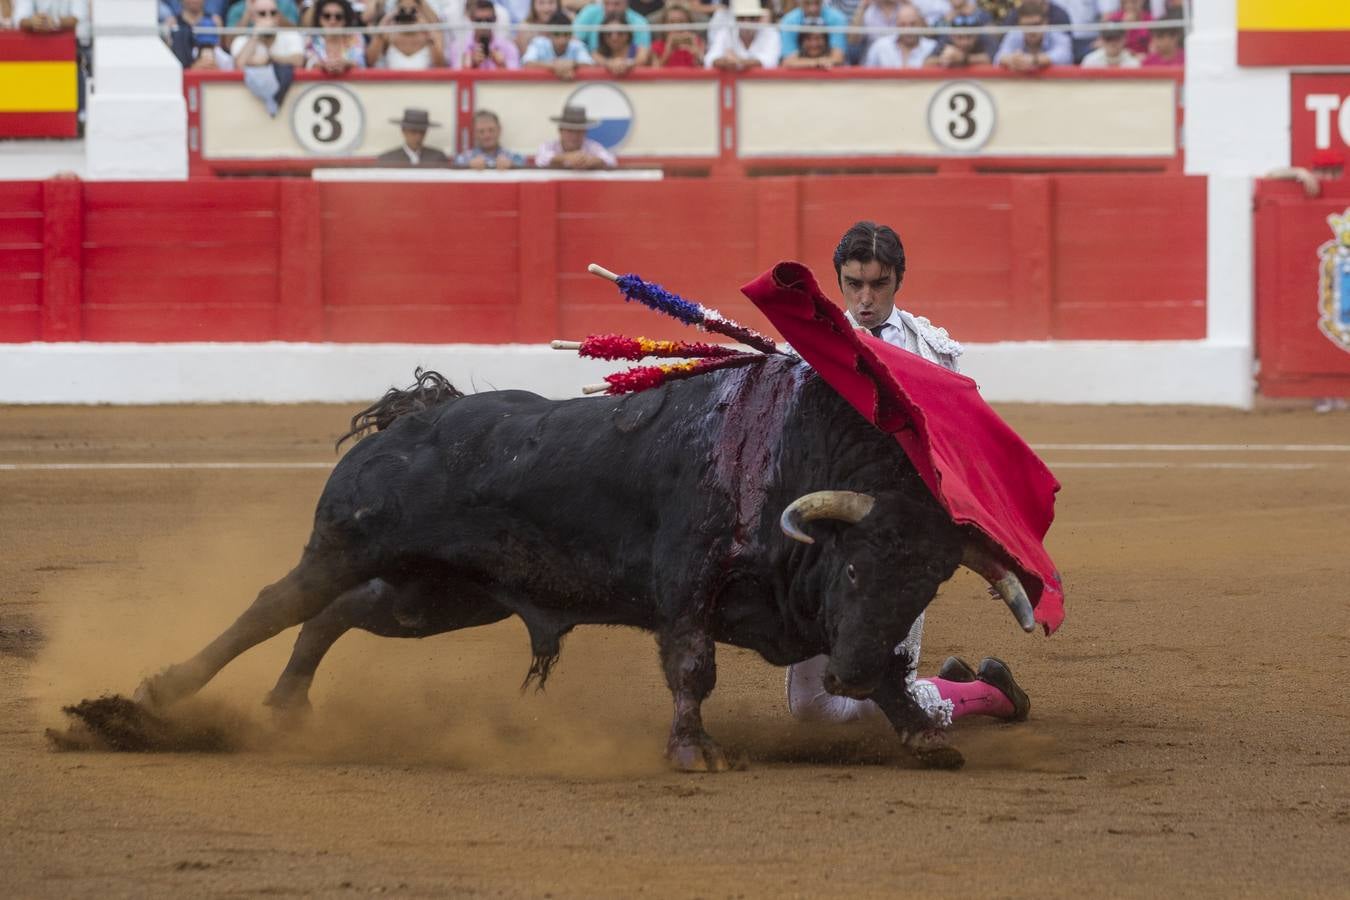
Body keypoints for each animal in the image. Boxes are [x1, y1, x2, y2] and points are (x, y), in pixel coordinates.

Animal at [134, 356, 1031, 771]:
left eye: (923, 586)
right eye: (852, 570)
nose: (844, 675)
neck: (786, 453)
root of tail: (415, 416)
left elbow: (892, 675)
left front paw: (921, 734)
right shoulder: (687, 584)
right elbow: (693, 668)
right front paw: (694, 753)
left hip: (441, 598)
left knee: (338, 613)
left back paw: (287, 706)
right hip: (345, 542)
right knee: (276, 603)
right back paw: (153, 698)